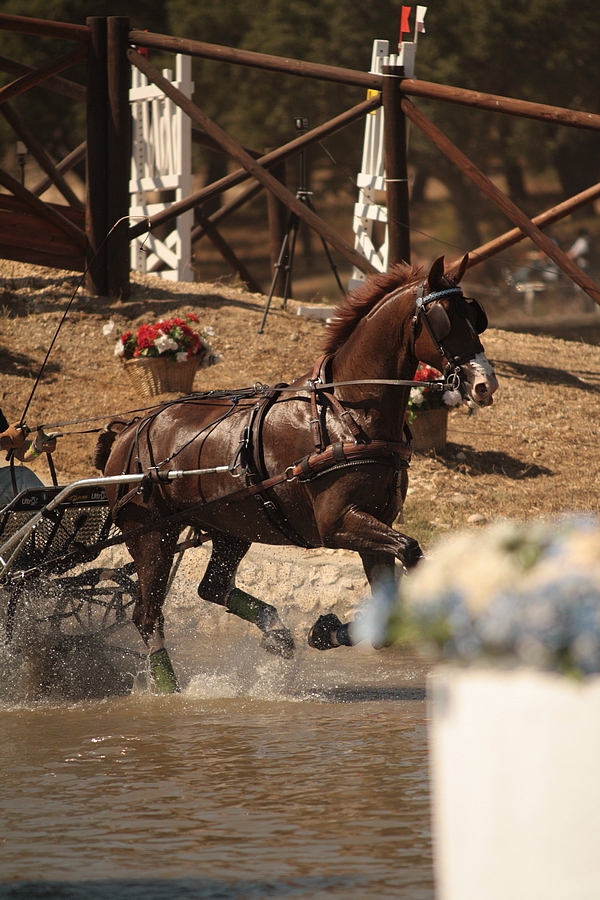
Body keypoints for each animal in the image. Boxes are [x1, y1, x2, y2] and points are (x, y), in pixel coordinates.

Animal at [95, 256, 496, 692]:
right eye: (445, 319)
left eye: (474, 316)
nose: (485, 383)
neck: (349, 411)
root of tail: (129, 430)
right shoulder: (338, 524)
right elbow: (409, 549)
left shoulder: (373, 526)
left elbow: (388, 613)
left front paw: (324, 631)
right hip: (153, 535)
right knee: (147, 616)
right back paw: (172, 690)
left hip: (232, 525)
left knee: (212, 587)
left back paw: (277, 633)